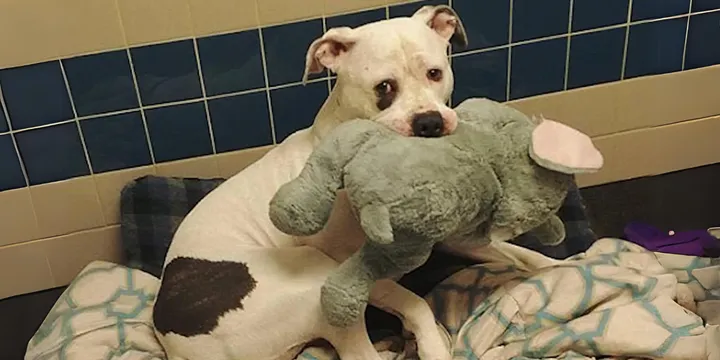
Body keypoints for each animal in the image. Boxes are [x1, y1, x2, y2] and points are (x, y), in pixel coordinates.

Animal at [153, 6, 480, 360]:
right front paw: (430, 342)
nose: (429, 122)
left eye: (435, 73)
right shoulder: (357, 272)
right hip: (318, 280)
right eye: (384, 87)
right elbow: (416, 304)